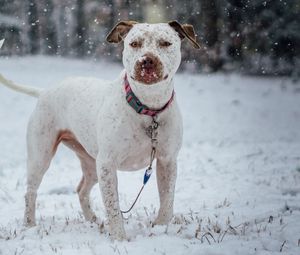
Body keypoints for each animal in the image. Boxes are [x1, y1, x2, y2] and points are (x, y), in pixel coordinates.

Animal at [0, 20, 199, 240]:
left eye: (165, 43)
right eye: (134, 43)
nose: (147, 60)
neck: (148, 108)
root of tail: (45, 92)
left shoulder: (167, 161)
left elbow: (167, 199)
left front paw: (161, 228)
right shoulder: (107, 164)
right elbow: (113, 205)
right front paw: (119, 238)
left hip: (90, 162)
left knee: (81, 190)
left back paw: (92, 220)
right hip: (41, 156)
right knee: (31, 191)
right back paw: (29, 225)